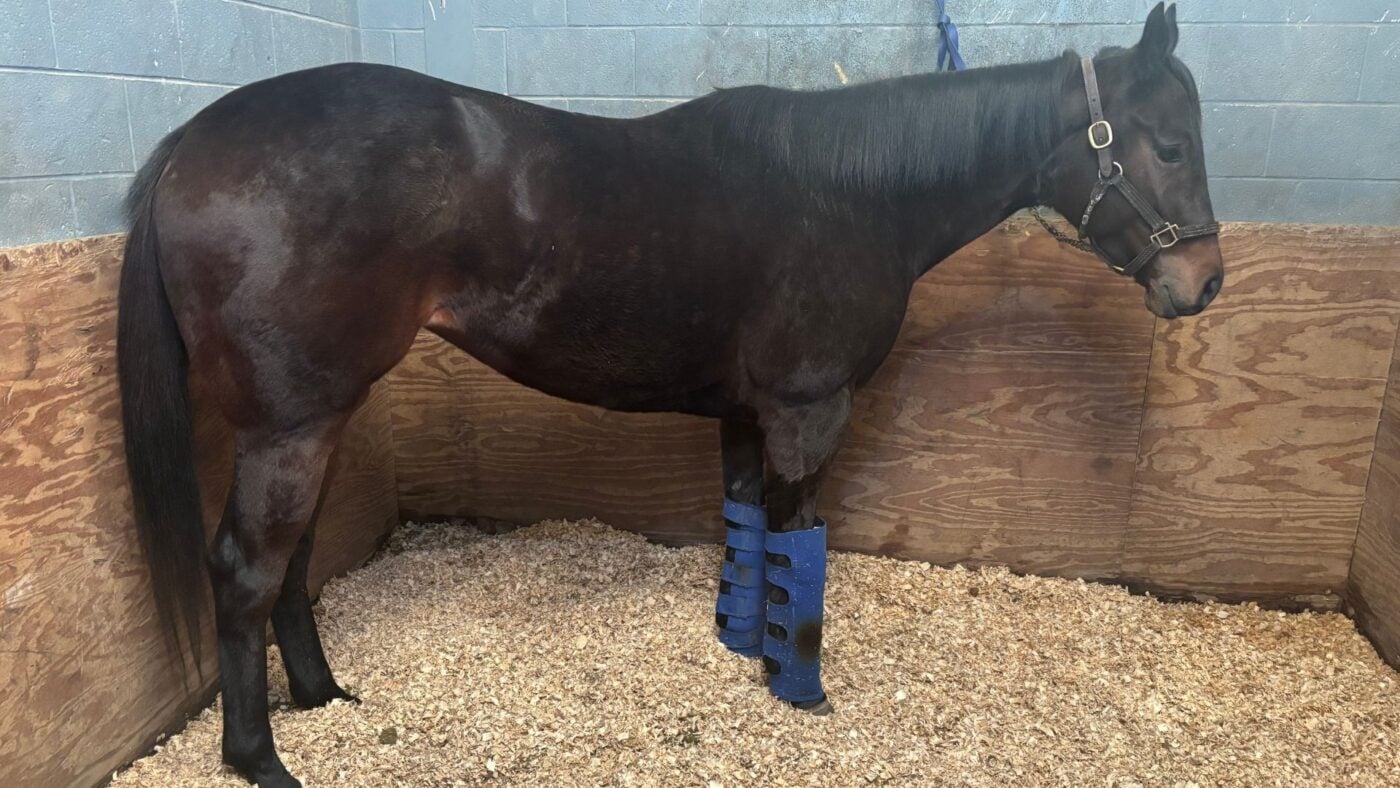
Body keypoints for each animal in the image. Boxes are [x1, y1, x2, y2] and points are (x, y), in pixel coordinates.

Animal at [117, 4, 1221, 785]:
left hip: (313, 418)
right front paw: (798, 685)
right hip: (289, 427)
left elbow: (747, 533)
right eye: (1167, 144)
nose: (1201, 284)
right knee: (245, 569)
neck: (848, 194)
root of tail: (191, 141)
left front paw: (742, 642)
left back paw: (322, 695)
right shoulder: (806, 412)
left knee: (291, 559)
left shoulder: (744, 414)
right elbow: (801, 543)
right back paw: (259, 757)